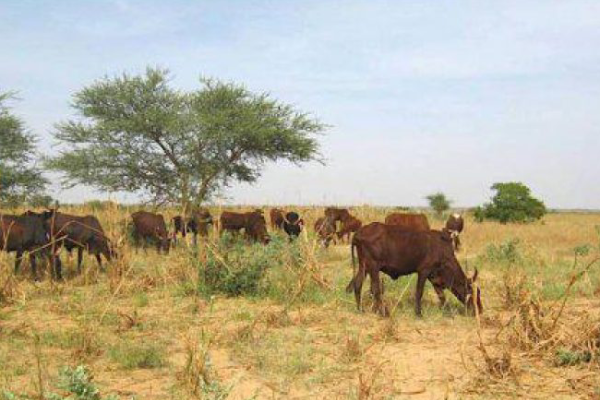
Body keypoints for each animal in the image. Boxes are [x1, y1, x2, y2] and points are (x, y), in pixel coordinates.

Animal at [344, 220, 480, 318]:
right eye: (474, 293)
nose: (479, 311)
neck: (442, 251)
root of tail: (360, 232)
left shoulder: (434, 277)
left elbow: (441, 296)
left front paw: (448, 312)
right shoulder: (424, 271)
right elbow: (419, 292)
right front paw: (418, 313)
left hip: (364, 267)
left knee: (358, 284)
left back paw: (360, 309)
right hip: (373, 268)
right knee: (376, 289)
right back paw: (384, 313)